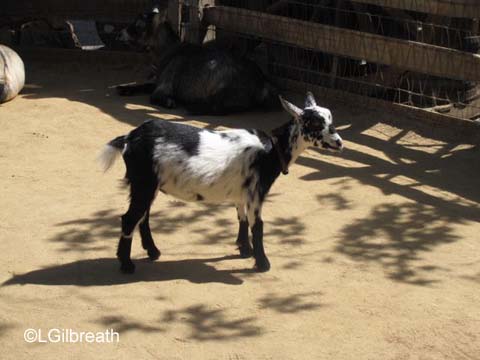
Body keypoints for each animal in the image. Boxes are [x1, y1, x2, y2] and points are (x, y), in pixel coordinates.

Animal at [99, 93, 344, 272]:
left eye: (331, 120)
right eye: (315, 123)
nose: (339, 143)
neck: (272, 151)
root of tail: (129, 138)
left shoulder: (242, 192)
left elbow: (241, 217)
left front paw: (244, 249)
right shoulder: (256, 192)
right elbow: (258, 226)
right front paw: (262, 263)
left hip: (148, 184)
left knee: (143, 217)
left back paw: (153, 252)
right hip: (144, 183)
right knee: (130, 218)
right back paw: (127, 265)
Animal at [115, 1, 278, 114]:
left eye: (139, 25)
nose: (120, 34)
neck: (169, 50)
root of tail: (262, 83)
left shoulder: (164, 86)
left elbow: (154, 96)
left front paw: (169, 102)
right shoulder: (157, 82)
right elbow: (144, 85)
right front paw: (124, 88)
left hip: (225, 91)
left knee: (220, 108)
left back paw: (193, 107)